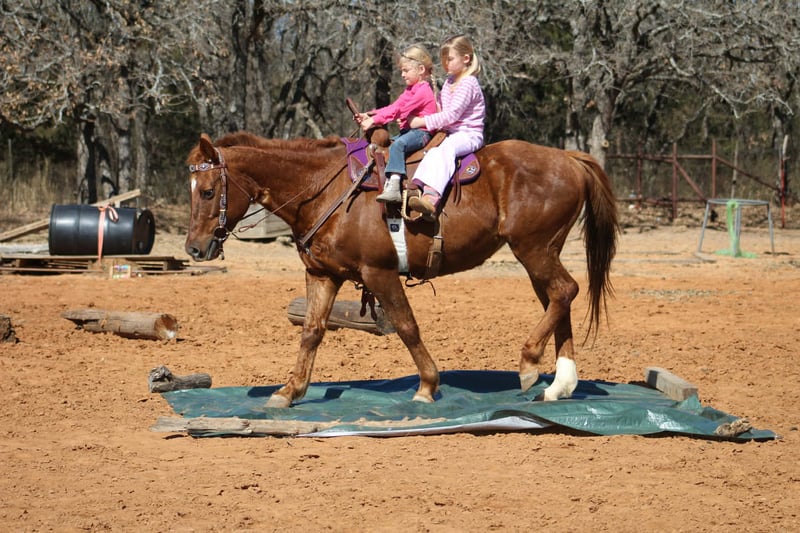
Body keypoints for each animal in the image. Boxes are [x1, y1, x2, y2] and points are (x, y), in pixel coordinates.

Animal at [185, 131, 619, 408]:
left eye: (207, 191)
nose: (194, 247)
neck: (325, 189)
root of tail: (568, 158)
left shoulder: (379, 273)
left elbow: (407, 327)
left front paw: (428, 385)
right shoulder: (323, 275)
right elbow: (311, 332)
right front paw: (289, 392)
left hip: (534, 250)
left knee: (564, 292)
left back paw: (530, 365)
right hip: (541, 253)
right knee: (559, 299)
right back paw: (559, 386)